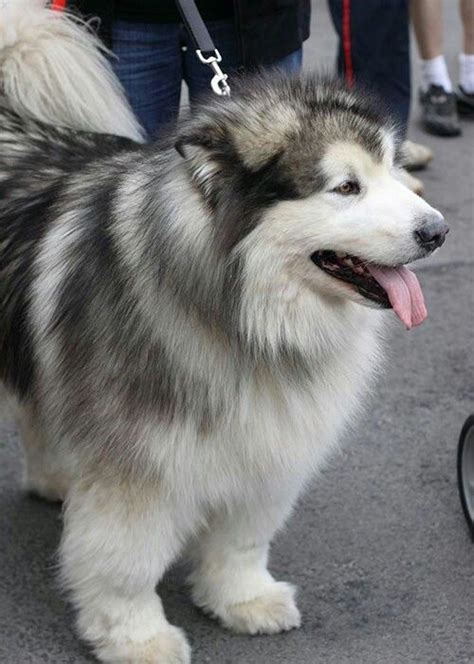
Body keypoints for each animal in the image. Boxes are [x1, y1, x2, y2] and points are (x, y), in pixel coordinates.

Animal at [0, 2, 448, 660]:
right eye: (346, 187)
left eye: (394, 171)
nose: (439, 232)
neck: (246, 321)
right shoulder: (141, 467)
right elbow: (126, 562)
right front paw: (138, 637)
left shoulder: (264, 445)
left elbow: (242, 539)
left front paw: (242, 599)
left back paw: (56, 476)